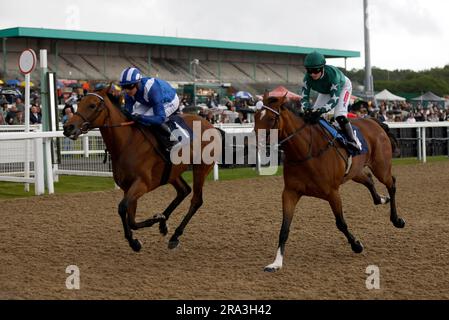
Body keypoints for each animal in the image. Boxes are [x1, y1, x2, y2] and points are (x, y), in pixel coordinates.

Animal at [62, 87, 220, 252]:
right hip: (172, 173)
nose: (68, 127)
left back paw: (175, 235)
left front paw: (138, 237)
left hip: (201, 169)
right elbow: (129, 217)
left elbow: (122, 208)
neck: (127, 143)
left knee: (196, 200)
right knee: (183, 191)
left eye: (92, 105)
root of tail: (210, 124)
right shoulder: (128, 188)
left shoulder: (142, 184)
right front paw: (139, 237)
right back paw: (163, 223)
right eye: (79, 103)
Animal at [254, 94, 404, 272]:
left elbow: (341, 223)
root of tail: (373, 121)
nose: (256, 142)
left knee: (391, 184)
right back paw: (381, 199)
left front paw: (356, 245)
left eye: (271, 119)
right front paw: (276, 263)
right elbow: (284, 228)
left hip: (381, 167)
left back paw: (397, 219)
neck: (306, 152)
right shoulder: (290, 192)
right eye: (255, 117)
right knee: (368, 179)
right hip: (355, 171)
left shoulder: (332, 193)